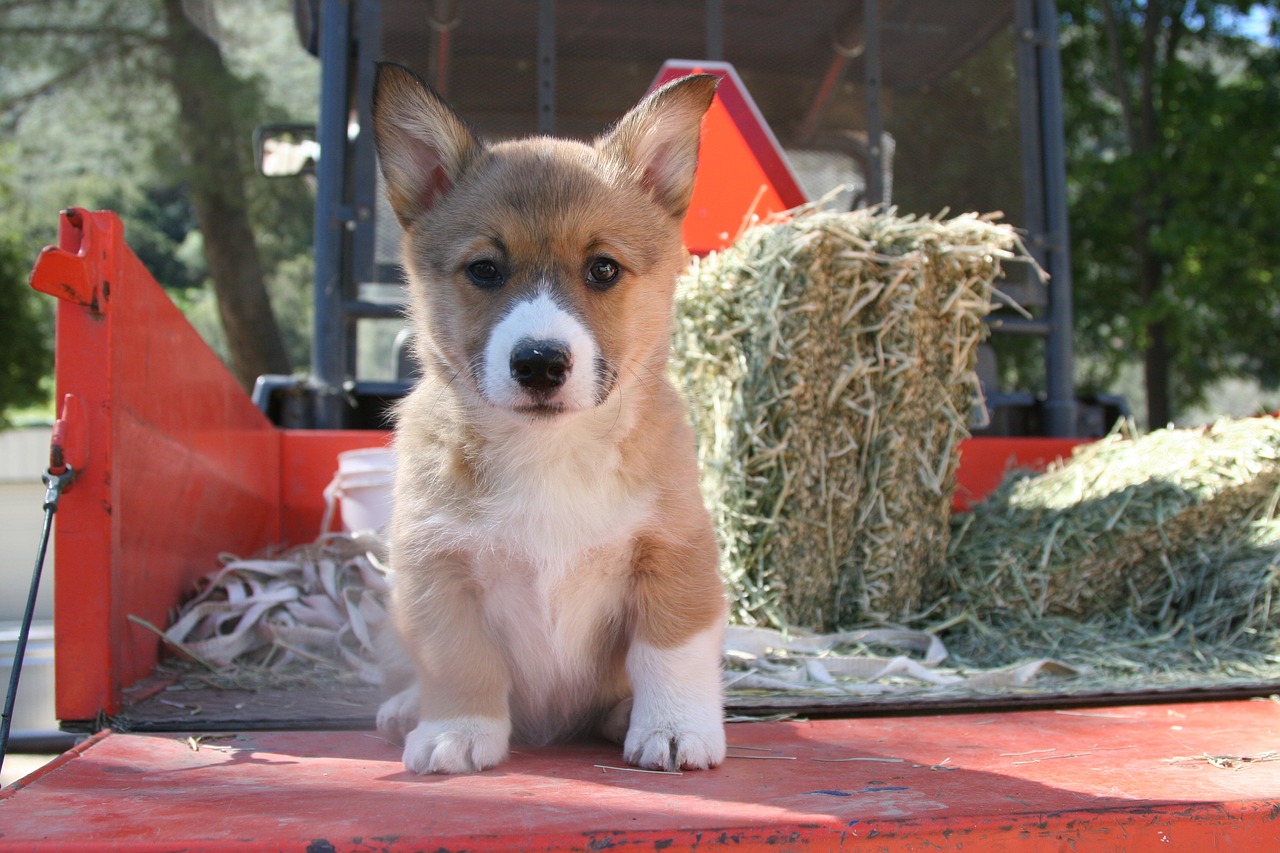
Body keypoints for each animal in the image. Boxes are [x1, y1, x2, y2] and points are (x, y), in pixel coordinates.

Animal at [373, 63, 732, 773]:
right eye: (485, 269)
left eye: (603, 268)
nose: (539, 363)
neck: (550, 451)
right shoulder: (435, 567)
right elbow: (458, 659)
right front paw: (456, 731)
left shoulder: (675, 554)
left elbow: (668, 653)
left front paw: (674, 728)